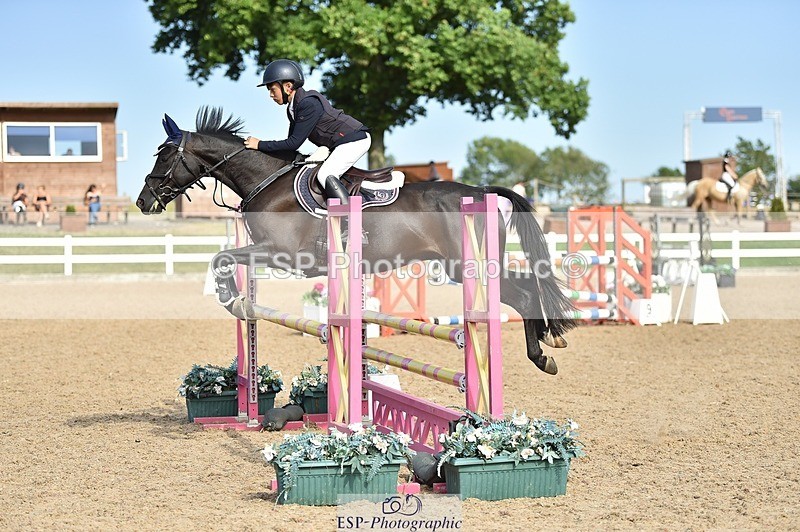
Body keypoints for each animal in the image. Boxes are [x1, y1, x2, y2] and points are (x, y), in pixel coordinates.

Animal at [136, 108, 577, 375]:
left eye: (164, 156)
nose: (143, 201)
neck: (267, 182)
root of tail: (481, 190)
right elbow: (224, 257)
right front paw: (235, 299)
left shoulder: (283, 255)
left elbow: (222, 257)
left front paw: (230, 297)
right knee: (525, 287)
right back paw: (549, 340)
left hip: (467, 265)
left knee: (523, 294)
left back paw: (542, 355)